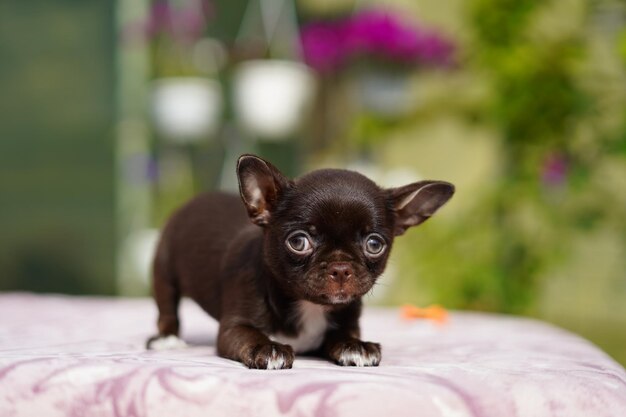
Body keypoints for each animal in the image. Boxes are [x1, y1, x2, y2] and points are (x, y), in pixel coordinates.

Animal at [147, 154, 454, 368]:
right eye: (298, 242)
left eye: (374, 244)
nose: (340, 268)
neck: (310, 305)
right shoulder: (234, 327)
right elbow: (251, 336)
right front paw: (268, 348)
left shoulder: (346, 321)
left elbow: (343, 336)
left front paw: (356, 346)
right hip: (164, 271)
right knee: (167, 310)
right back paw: (167, 339)